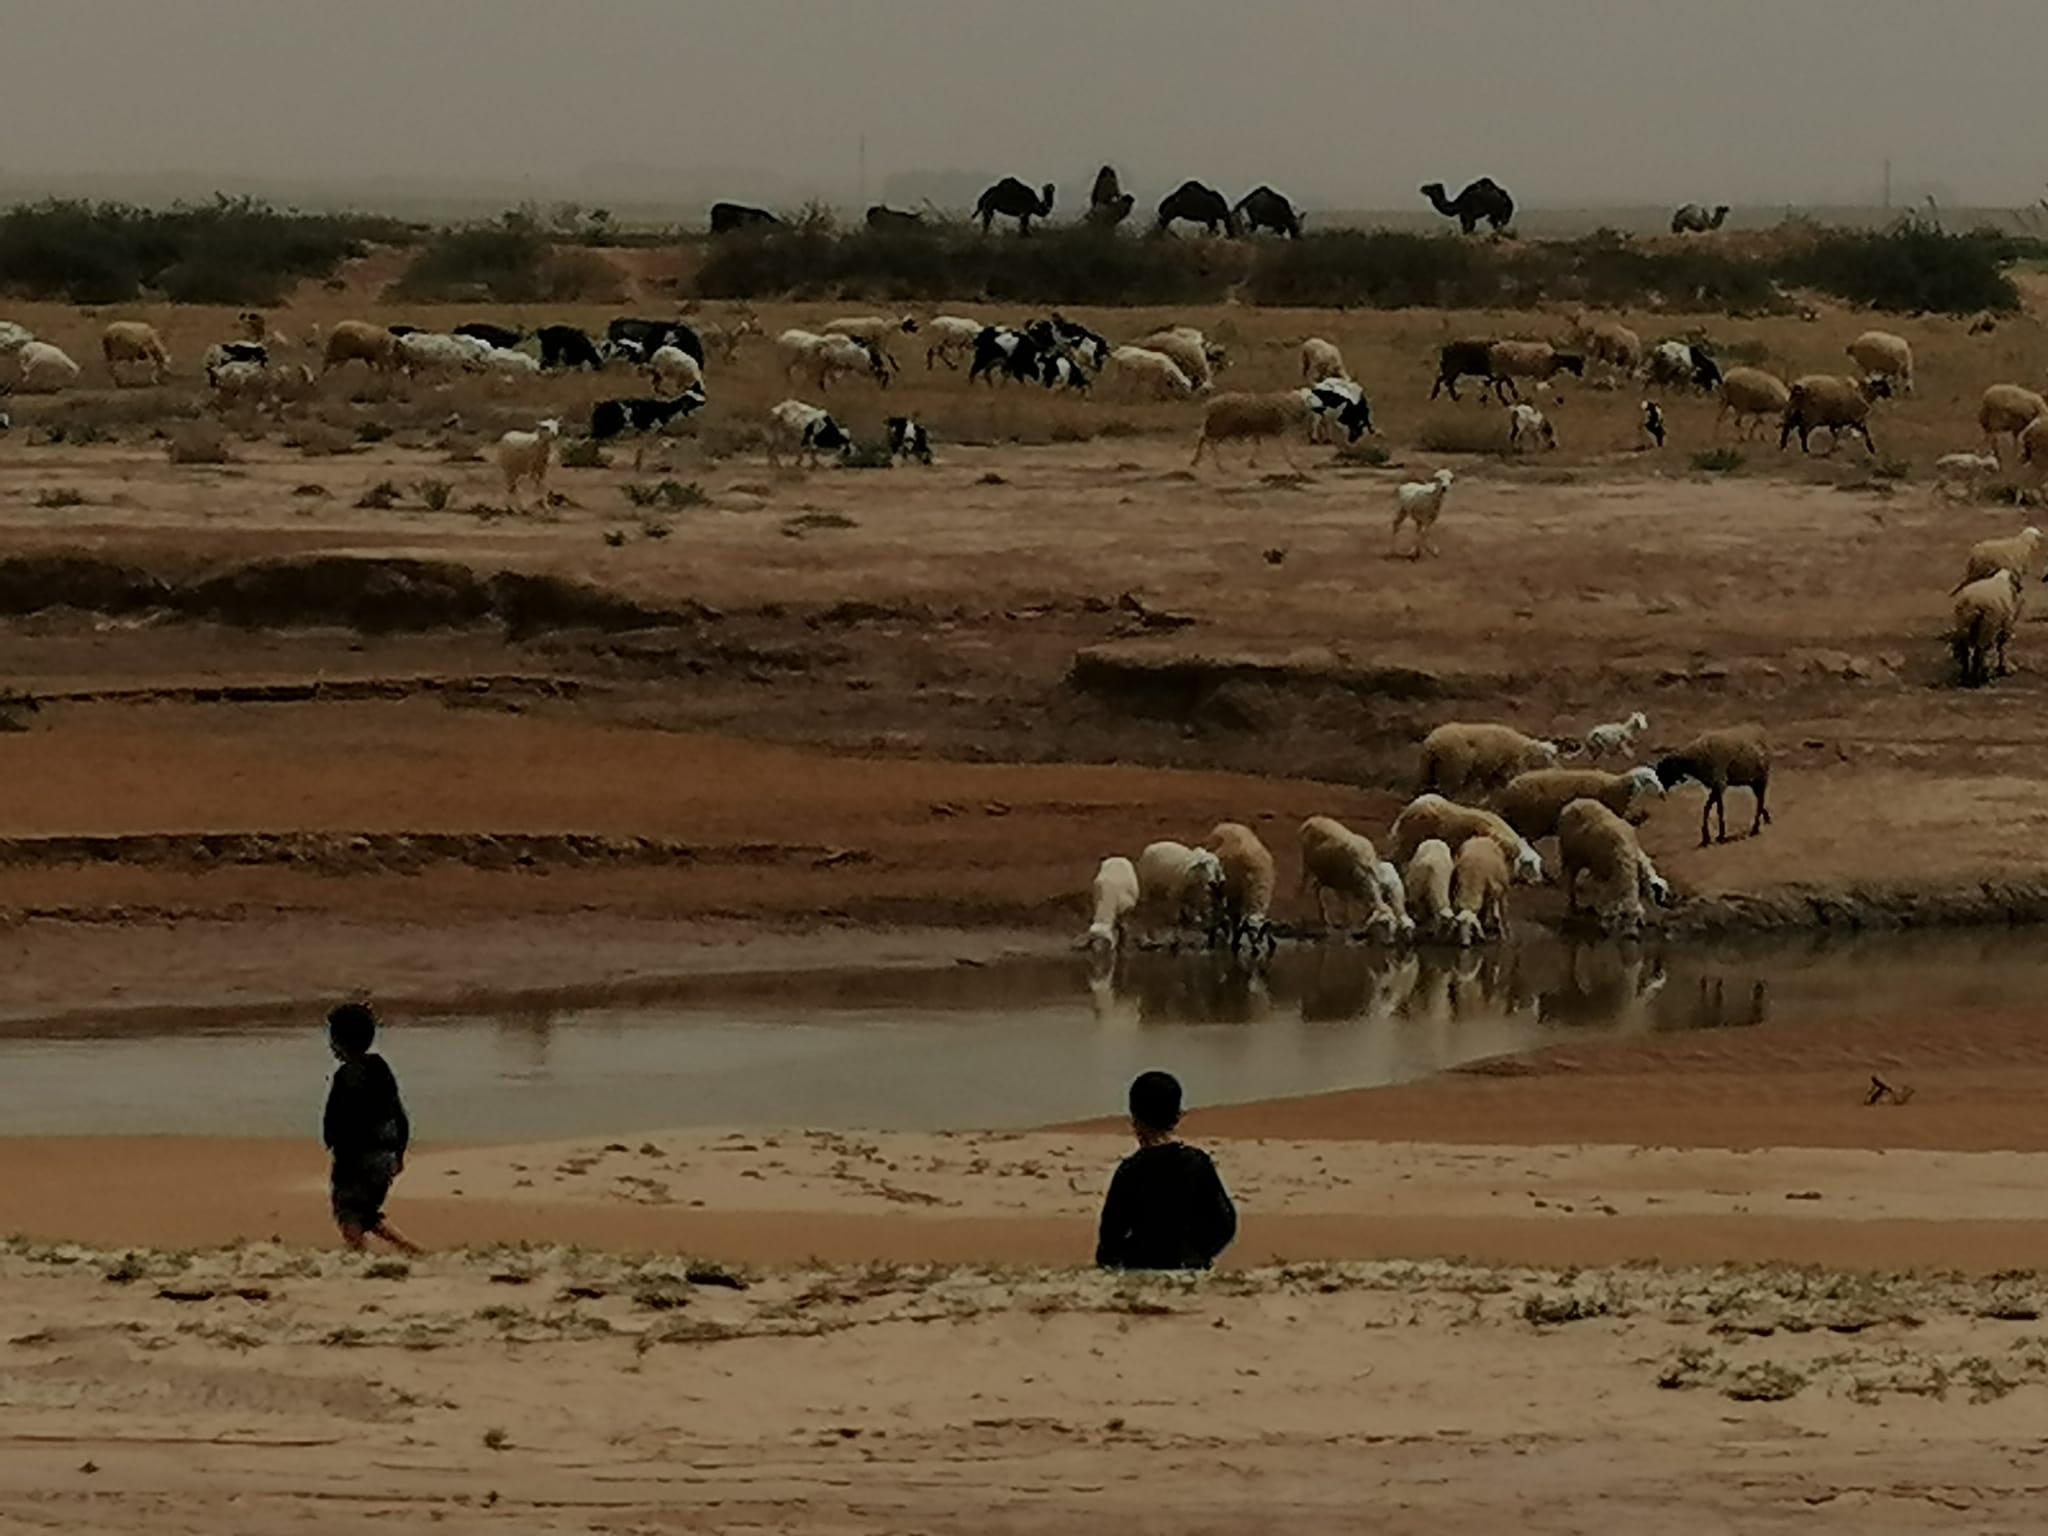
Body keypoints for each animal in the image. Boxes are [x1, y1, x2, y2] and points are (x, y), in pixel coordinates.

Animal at [1205, 821, 1277, 955]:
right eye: (1249, 933)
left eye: (1262, 933)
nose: (1256, 950)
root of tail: (1225, 824)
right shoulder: (1235, 897)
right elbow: (1236, 921)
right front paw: (1234, 943)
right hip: (1216, 886)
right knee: (1217, 909)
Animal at [1419, 721, 1560, 801]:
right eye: (1548, 756)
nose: (1557, 768)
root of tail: (1431, 744)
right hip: (1453, 765)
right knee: (1449, 788)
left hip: (1428, 769)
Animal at [1557, 798, 1670, 935]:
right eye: (1624, 917)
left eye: (1635, 919)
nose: (1632, 935)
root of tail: (1575, 801)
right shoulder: (1604, 874)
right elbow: (1605, 897)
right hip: (1571, 855)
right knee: (1570, 879)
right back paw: (1573, 902)